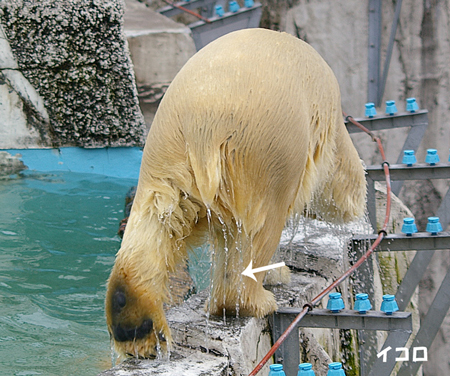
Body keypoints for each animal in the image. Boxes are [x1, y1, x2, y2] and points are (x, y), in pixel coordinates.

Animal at [104, 28, 366, 358]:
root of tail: (204, 125)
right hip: (264, 150)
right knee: (258, 229)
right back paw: (255, 299)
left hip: (165, 153)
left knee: (158, 219)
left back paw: (134, 325)